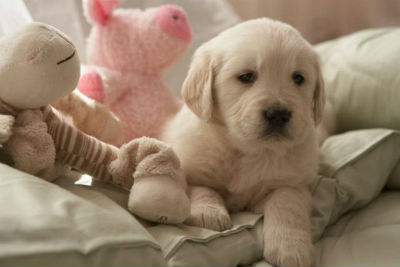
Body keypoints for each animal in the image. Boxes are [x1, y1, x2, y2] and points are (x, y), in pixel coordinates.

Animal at [160, 17, 324, 266]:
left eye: (298, 78)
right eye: (246, 77)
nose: (278, 114)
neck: (248, 149)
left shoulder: (294, 181)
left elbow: (287, 204)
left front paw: (291, 250)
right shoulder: (190, 164)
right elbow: (201, 187)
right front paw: (209, 212)